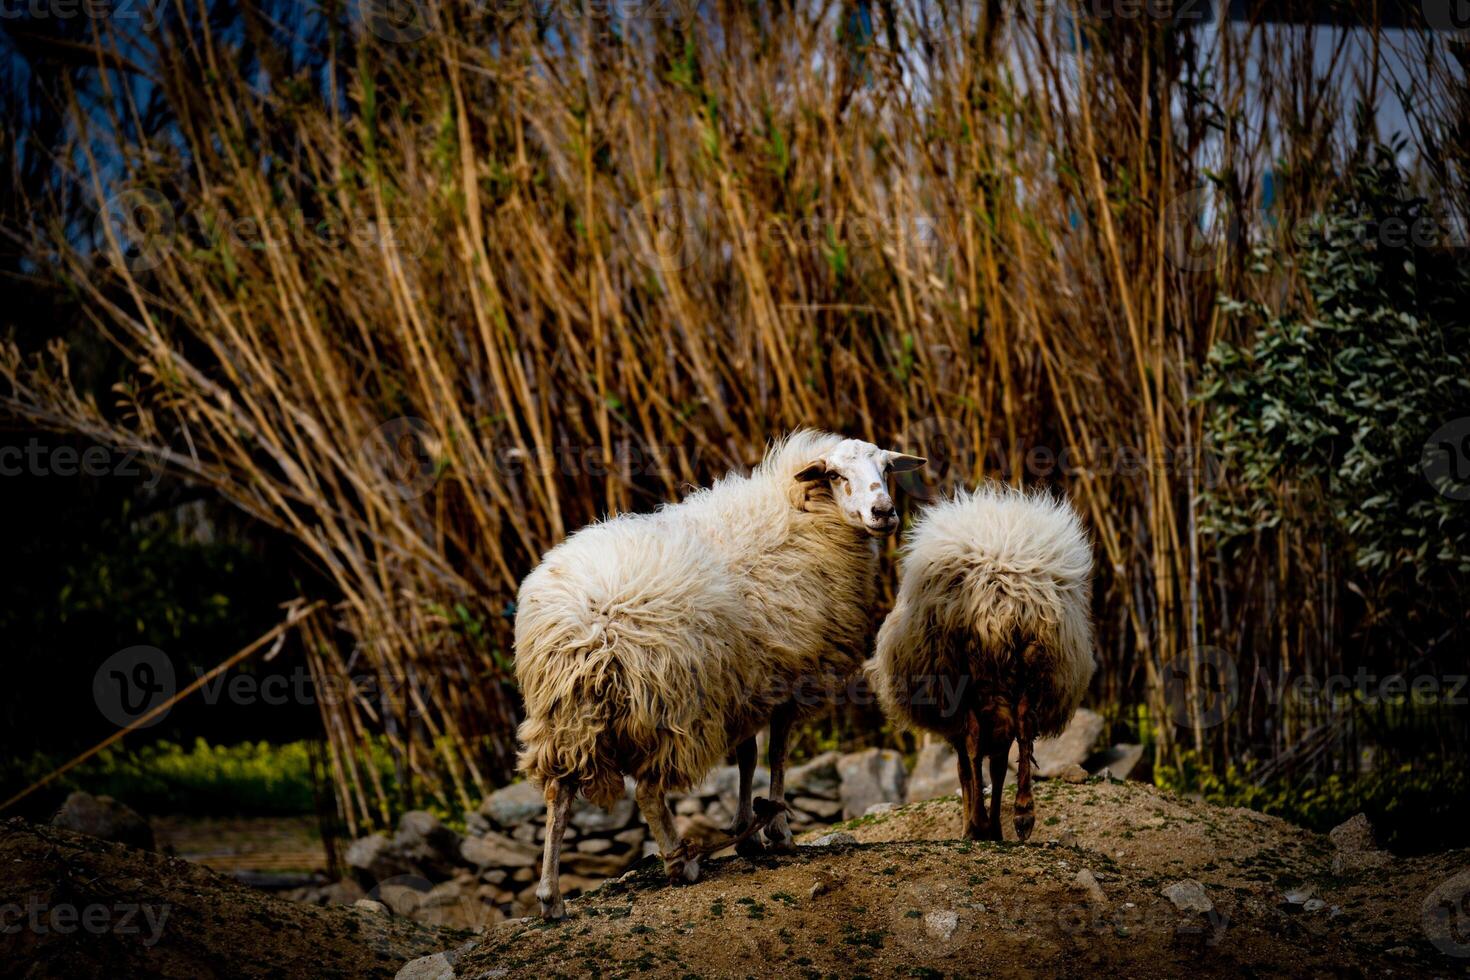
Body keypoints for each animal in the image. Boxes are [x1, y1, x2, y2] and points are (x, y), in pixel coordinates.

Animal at [517, 429, 923, 922]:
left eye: (886, 468)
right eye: (836, 475)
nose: (884, 512)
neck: (803, 516)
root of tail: (583, 625)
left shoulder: (745, 682)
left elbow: (748, 756)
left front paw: (746, 830)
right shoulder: (788, 679)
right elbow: (778, 755)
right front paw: (778, 831)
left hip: (565, 716)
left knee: (557, 797)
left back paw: (551, 897)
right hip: (668, 704)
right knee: (648, 791)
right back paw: (679, 863)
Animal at [870, 487, 1093, 846]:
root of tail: (999, 592)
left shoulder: (953, 717)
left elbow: (966, 769)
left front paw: (976, 825)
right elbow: (997, 764)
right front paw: (995, 825)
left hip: (961, 672)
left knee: (977, 744)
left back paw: (979, 822)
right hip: (1035, 663)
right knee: (1021, 729)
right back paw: (1022, 814)